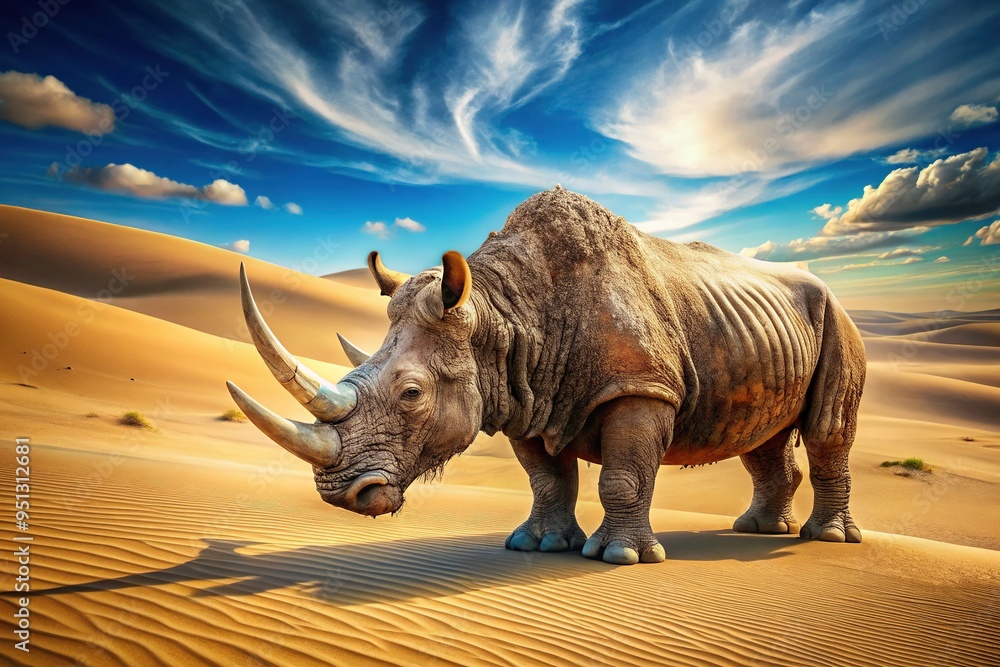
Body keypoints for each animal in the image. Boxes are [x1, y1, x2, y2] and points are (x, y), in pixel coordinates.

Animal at [227, 186, 866, 565]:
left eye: (411, 394)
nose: (342, 496)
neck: (505, 316)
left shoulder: (642, 388)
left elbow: (624, 476)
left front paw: (621, 559)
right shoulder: (522, 395)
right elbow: (546, 479)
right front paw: (538, 546)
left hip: (837, 317)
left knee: (828, 429)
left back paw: (824, 540)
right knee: (761, 435)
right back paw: (759, 530)